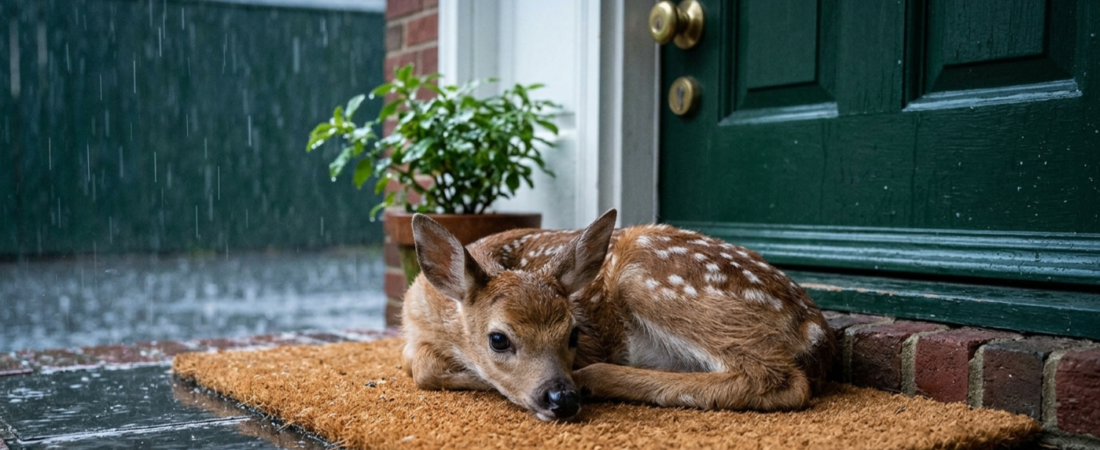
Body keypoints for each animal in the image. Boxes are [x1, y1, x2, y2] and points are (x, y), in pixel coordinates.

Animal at [401, 209, 835, 422]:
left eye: (573, 334)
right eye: (498, 339)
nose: (562, 398)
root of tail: (815, 329)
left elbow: (425, 370)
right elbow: (416, 364)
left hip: (647, 274)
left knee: (778, 378)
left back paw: (596, 378)